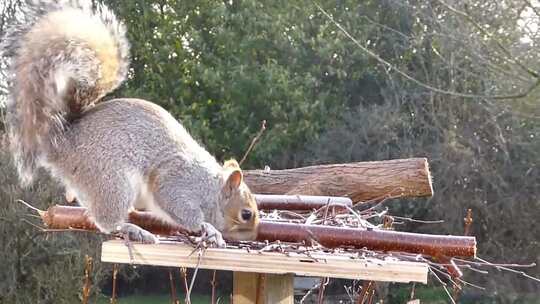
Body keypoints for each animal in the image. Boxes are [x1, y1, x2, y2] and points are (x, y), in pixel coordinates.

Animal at [1, 1, 260, 246]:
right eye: (246, 214)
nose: (254, 235)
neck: (212, 190)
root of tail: (61, 142)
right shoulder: (179, 182)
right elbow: (178, 206)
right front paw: (209, 228)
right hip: (112, 179)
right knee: (106, 222)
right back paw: (132, 229)